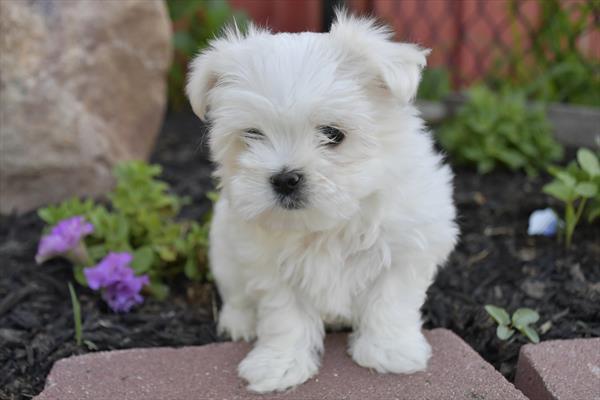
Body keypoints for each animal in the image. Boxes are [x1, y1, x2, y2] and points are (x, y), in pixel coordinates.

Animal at [185, 9, 458, 394]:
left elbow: (391, 301)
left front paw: (389, 351)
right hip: (223, 247)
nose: (285, 178)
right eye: (252, 134)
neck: (328, 224)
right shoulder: (268, 265)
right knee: (235, 293)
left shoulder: (408, 247)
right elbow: (284, 316)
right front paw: (279, 365)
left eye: (333, 134)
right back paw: (239, 322)